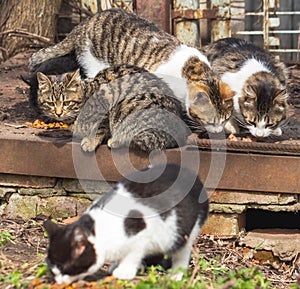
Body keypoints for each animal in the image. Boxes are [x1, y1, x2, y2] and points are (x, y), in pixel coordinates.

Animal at [35, 64, 190, 152]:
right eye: (51, 103)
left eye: (67, 102)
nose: (58, 113)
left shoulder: (106, 105)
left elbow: (100, 127)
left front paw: (91, 141)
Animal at [43, 163, 210, 282]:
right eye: (52, 269)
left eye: (64, 268)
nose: (58, 281)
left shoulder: (143, 233)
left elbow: (134, 253)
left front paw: (124, 271)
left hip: (189, 230)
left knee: (182, 251)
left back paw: (176, 274)